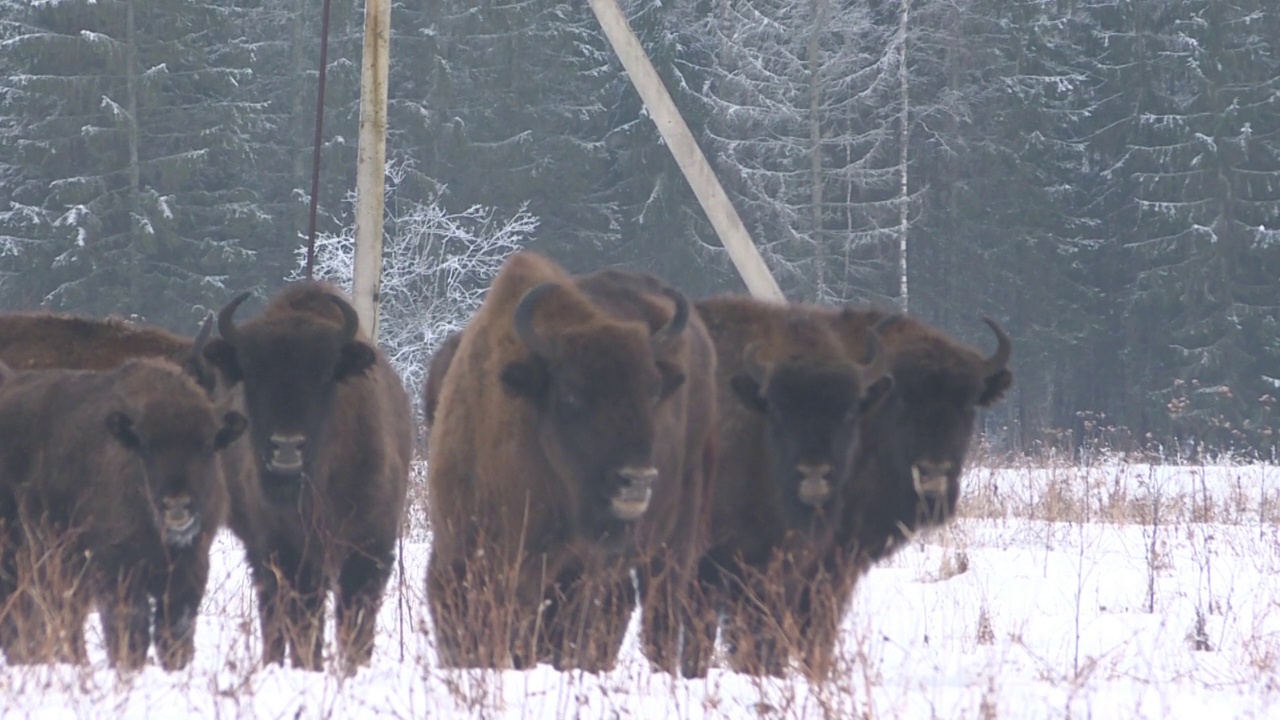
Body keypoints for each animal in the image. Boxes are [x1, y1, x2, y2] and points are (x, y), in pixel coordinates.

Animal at [0, 356, 245, 666]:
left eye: (207, 445)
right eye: (146, 448)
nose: (176, 504)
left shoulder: (189, 570)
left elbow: (174, 636)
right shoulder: (117, 574)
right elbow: (130, 637)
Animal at [199, 280, 412, 671]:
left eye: (325, 374)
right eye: (252, 374)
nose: (286, 447)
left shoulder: (370, 544)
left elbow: (355, 617)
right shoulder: (285, 550)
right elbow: (303, 617)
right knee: (273, 611)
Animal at [424, 252, 716, 671]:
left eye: (652, 391)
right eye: (573, 394)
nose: (637, 480)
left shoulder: (573, 573)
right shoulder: (456, 559)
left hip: (674, 539)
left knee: (662, 614)